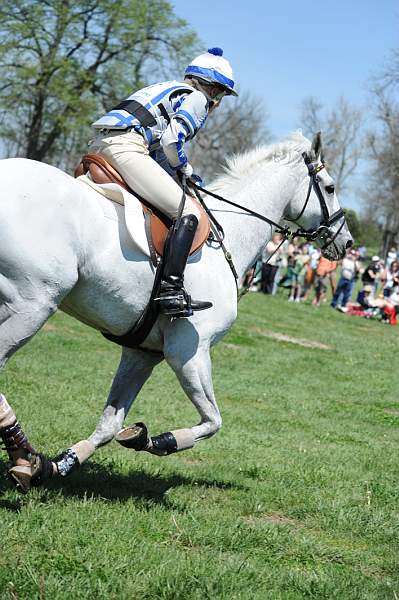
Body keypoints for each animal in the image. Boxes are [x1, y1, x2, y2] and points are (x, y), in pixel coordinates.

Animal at [0, 132, 352, 492]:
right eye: (330, 187)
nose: (347, 242)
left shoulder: (142, 353)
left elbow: (109, 425)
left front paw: (57, 466)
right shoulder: (189, 352)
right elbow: (212, 421)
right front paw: (156, 441)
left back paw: (28, 459)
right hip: (35, 304)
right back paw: (22, 453)